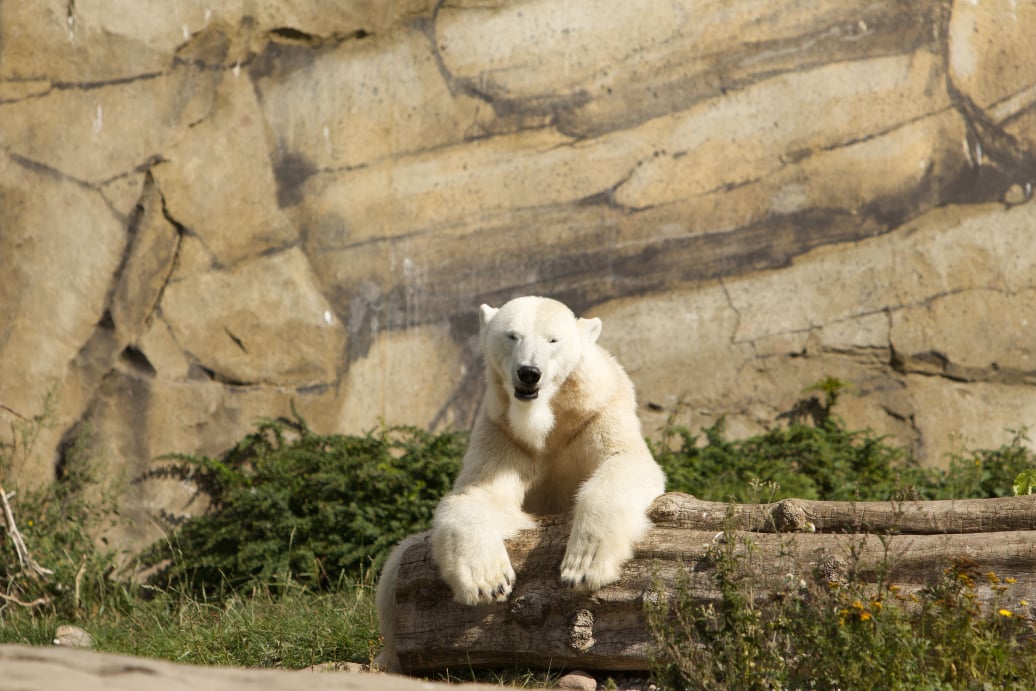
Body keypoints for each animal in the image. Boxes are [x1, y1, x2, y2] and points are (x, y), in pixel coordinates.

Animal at [375, 296, 666, 671]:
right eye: (512, 335)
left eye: (553, 339)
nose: (529, 372)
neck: (547, 419)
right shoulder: (503, 433)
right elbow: (481, 495)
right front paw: (488, 581)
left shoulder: (597, 413)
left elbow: (624, 461)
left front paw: (583, 567)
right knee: (396, 566)